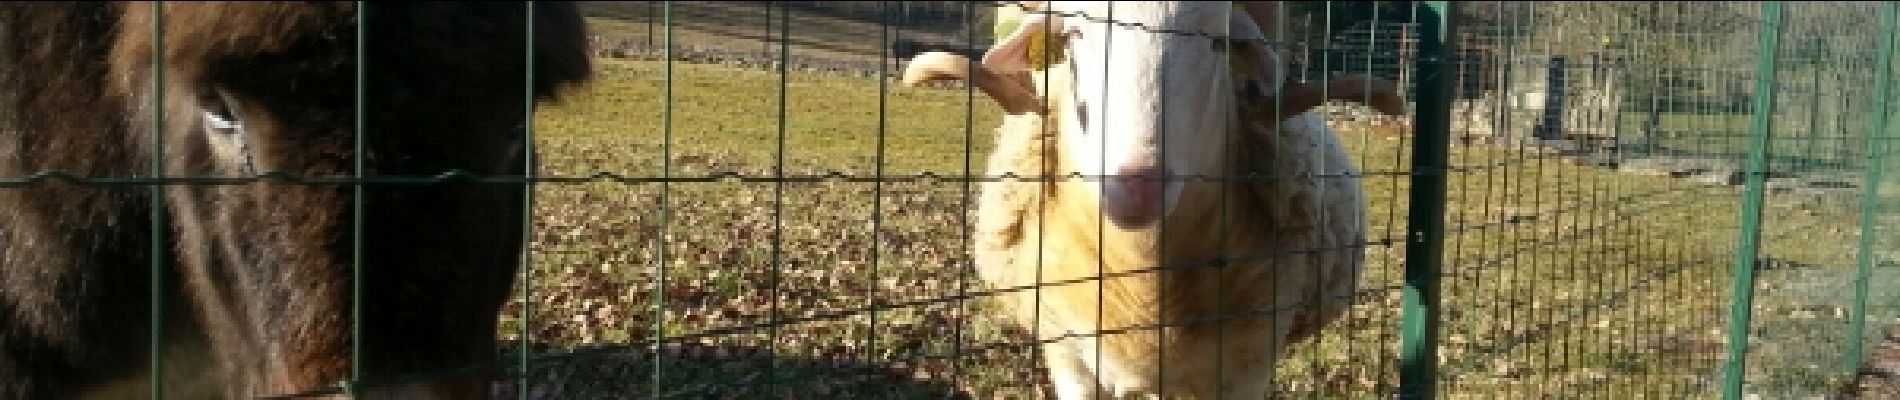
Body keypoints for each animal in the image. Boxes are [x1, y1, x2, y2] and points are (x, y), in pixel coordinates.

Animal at [896, 1, 1406, 398]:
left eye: (1217, 42)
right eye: (1074, 34)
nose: (1137, 184)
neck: (1144, 286)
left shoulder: (1249, 361)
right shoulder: (1068, 356)